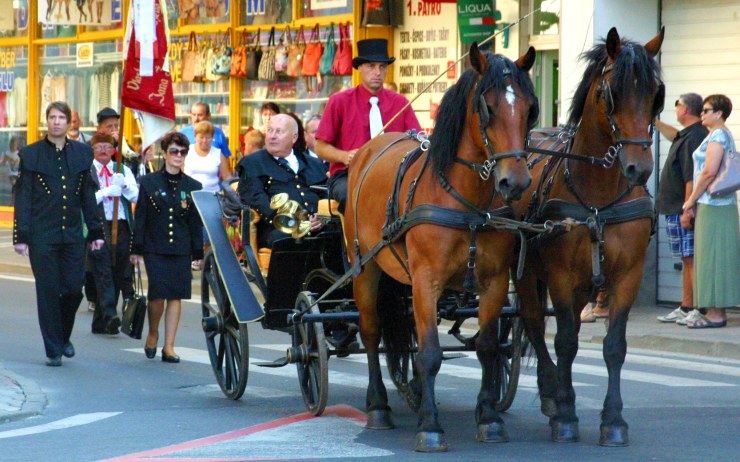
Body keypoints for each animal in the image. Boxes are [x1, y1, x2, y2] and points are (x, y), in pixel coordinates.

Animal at [344, 43, 540, 452]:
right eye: (488, 108)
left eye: (531, 108)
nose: (515, 182)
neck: (467, 202)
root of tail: (368, 150)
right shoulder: (426, 281)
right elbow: (431, 353)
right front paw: (430, 427)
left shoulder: (494, 282)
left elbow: (487, 347)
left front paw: (489, 418)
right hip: (364, 269)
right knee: (370, 333)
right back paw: (378, 408)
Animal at [516, 27, 664, 446]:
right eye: (612, 92)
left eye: (656, 94)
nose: (639, 169)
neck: (598, 196)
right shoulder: (562, 276)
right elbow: (564, 341)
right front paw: (566, 415)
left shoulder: (627, 276)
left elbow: (614, 347)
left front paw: (613, 421)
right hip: (528, 275)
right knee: (537, 328)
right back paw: (553, 395)